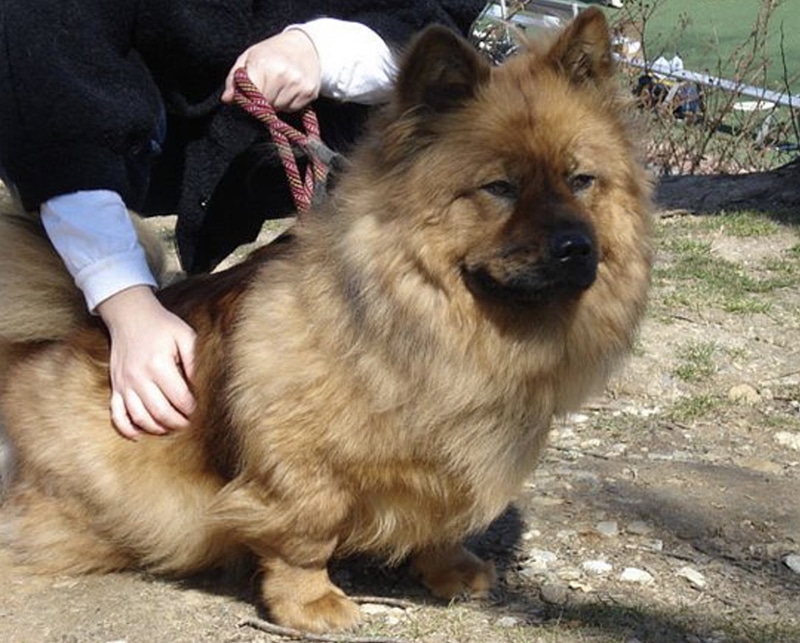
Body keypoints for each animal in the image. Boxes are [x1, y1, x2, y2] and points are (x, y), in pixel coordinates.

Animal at [0, 8, 648, 632]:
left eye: (581, 180)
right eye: (500, 188)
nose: (575, 247)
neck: (437, 321)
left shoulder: (451, 454)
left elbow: (444, 516)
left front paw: (450, 567)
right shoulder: (299, 464)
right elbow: (306, 533)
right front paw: (309, 601)